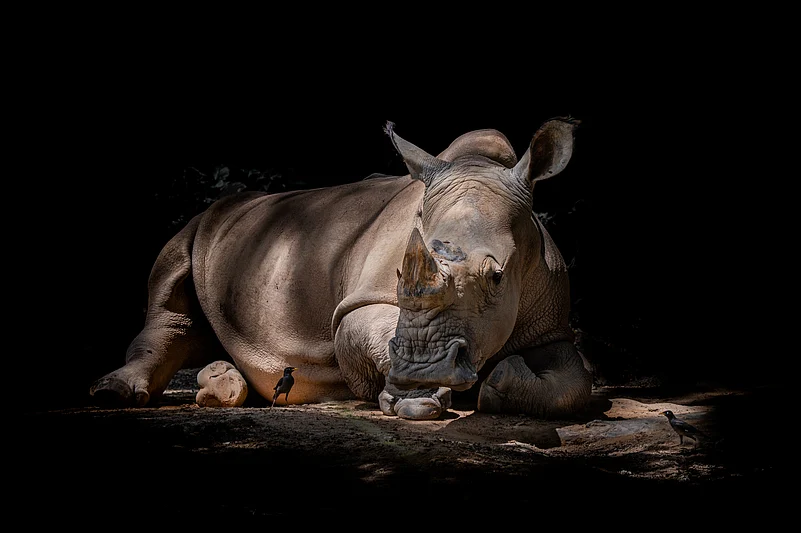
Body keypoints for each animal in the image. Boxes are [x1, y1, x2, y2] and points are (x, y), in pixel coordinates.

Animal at [90, 118, 592, 420]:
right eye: (399, 275)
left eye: (497, 277)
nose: (425, 370)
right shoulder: (362, 301)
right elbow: (365, 330)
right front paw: (414, 400)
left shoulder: (552, 326)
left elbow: (575, 382)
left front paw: (497, 385)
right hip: (200, 225)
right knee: (169, 297)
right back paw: (114, 394)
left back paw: (224, 387)